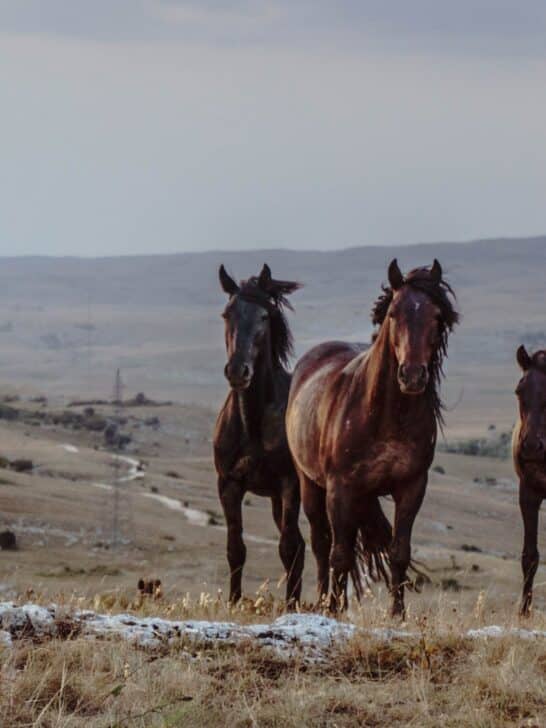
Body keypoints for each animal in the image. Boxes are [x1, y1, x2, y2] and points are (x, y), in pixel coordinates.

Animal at [213, 263, 305, 606]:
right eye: (227, 314)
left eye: (265, 316)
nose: (238, 371)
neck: (252, 424)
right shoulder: (229, 484)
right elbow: (235, 549)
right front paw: (234, 602)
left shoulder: (290, 484)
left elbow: (288, 547)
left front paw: (292, 608)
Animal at [286, 259, 459, 616]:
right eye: (393, 312)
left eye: (437, 316)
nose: (413, 375)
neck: (385, 417)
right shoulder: (340, 488)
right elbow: (339, 553)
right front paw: (334, 609)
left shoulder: (411, 487)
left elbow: (399, 551)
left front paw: (398, 613)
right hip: (310, 484)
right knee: (322, 543)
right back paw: (324, 600)